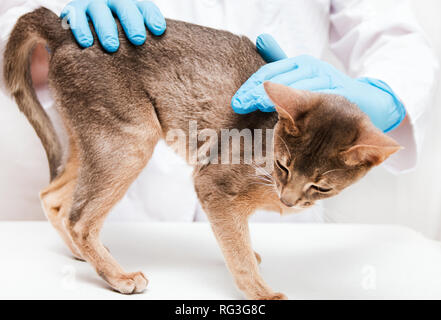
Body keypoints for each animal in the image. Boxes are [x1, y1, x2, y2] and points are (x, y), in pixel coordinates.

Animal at [3, 8, 400, 300]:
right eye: (283, 166)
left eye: (322, 186)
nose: (287, 201)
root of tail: (66, 31)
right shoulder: (213, 184)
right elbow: (237, 253)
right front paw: (262, 292)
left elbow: (240, 240)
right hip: (131, 140)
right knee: (79, 216)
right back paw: (117, 276)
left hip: (93, 139)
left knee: (54, 197)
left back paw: (84, 254)